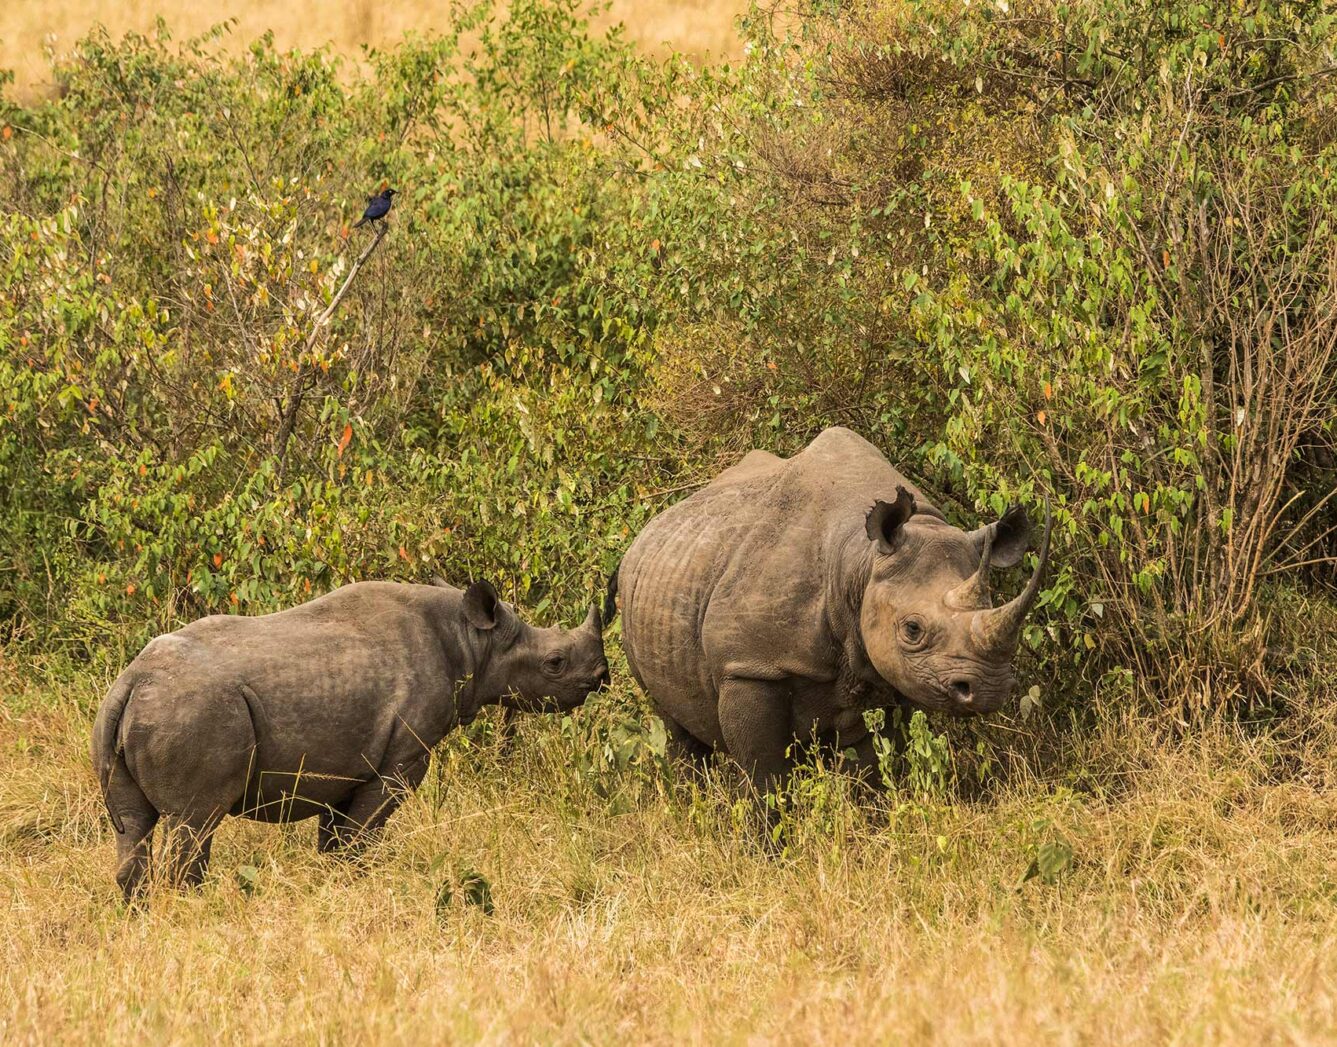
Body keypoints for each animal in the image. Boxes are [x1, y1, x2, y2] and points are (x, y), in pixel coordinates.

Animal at [95, 580, 612, 898]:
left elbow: (335, 837)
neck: (472, 640)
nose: (601, 678)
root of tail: (131, 681)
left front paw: (332, 883)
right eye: (555, 663)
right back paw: (194, 907)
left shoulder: (341, 765)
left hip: (137, 712)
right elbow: (360, 836)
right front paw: (355, 883)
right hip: (192, 711)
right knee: (196, 821)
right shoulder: (402, 759)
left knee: (133, 826)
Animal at [612, 430, 1048, 807]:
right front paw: (768, 848)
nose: (989, 689)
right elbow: (766, 776)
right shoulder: (747, 666)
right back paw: (694, 806)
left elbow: (870, 767)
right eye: (912, 629)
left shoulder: (882, 672)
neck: (859, 559)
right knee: (675, 727)